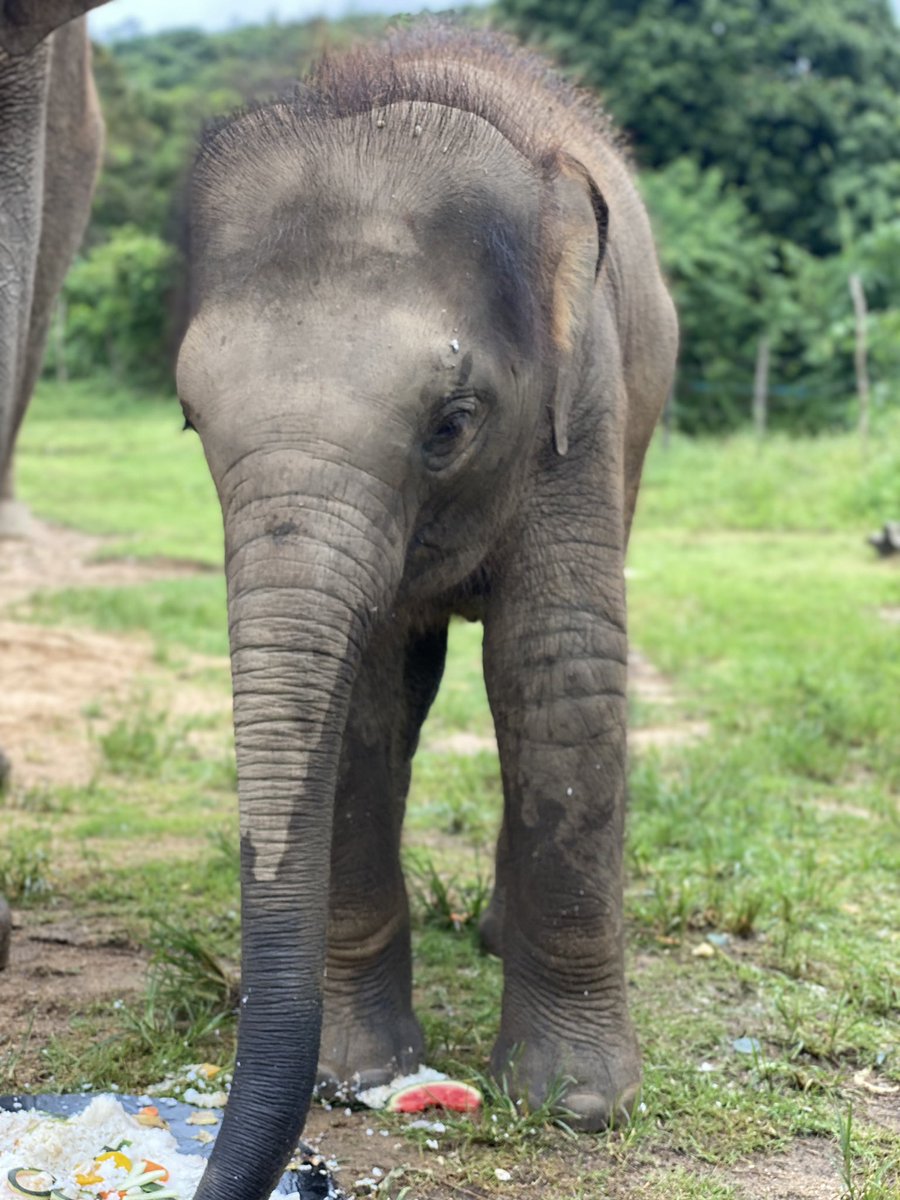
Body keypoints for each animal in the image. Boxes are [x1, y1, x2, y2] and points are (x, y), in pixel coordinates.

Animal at [177, 26, 677, 1200]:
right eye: (188, 418)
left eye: (451, 423)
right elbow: (360, 710)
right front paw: (358, 1075)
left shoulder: (583, 400)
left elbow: (557, 674)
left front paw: (576, 1106)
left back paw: (494, 939)